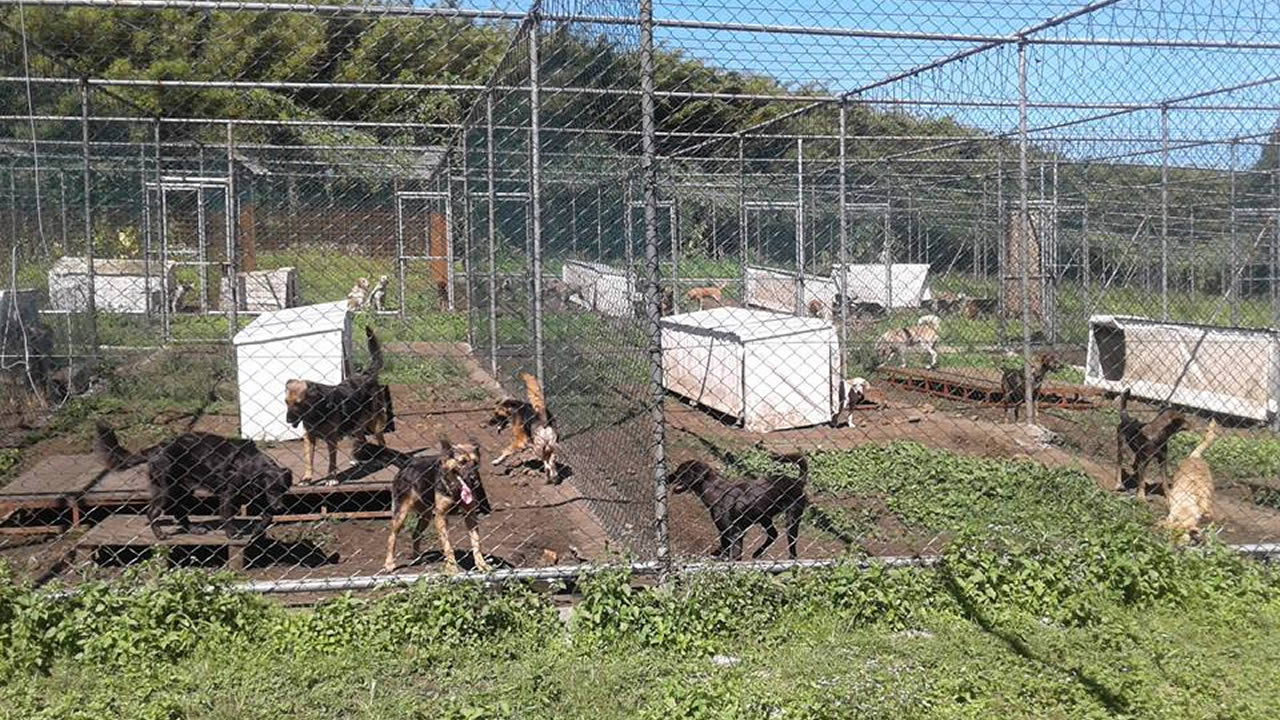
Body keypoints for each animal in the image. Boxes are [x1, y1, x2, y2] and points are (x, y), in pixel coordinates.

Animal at [96, 420, 293, 538]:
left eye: (283, 490)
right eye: (272, 489)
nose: (280, 507)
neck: (249, 464)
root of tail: (155, 448)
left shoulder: (257, 494)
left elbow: (267, 516)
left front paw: (258, 531)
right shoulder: (228, 494)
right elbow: (227, 516)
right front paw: (232, 534)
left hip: (184, 489)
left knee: (179, 512)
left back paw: (193, 529)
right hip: (166, 490)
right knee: (152, 512)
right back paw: (160, 535)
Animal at [376, 438, 491, 571]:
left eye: (476, 463)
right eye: (462, 462)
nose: (474, 479)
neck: (455, 490)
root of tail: (407, 463)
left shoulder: (470, 515)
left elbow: (476, 543)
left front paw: (481, 564)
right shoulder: (440, 517)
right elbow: (448, 546)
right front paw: (451, 568)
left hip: (426, 515)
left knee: (415, 534)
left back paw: (418, 558)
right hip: (401, 514)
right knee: (392, 536)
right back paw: (389, 563)